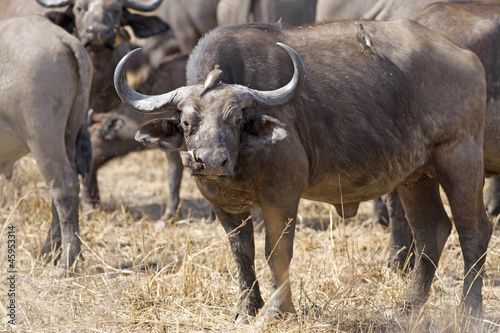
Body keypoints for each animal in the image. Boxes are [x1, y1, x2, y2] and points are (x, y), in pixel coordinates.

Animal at [0, 14, 93, 276]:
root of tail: (57, 34)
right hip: (67, 138)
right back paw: (50, 253)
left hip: (42, 138)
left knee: (64, 186)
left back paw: (67, 262)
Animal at [115, 21, 490, 320]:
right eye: (187, 122)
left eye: (235, 119)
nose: (209, 161)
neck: (242, 156)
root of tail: (469, 60)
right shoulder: (222, 204)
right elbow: (242, 253)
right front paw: (247, 308)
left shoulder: (282, 197)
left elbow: (276, 251)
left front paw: (279, 310)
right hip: (416, 177)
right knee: (431, 232)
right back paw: (406, 309)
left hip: (460, 158)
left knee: (474, 230)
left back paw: (469, 311)